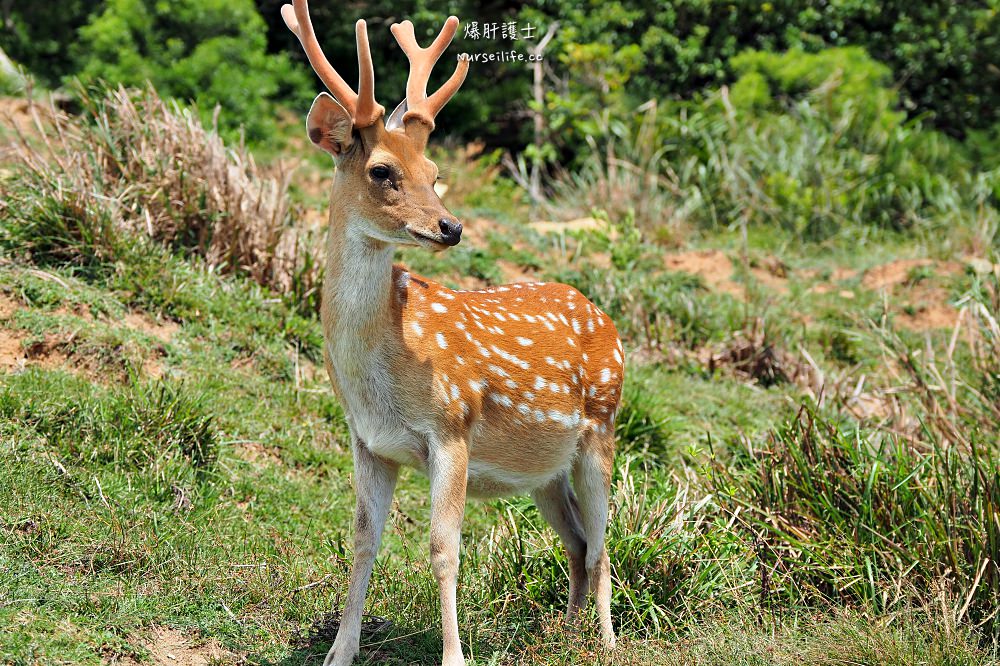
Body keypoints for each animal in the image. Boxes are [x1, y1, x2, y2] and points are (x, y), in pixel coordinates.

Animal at [280, 2, 624, 660]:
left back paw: (609, 642)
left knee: (604, 540)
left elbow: (444, 550)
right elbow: (363, 542)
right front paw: (340, 651)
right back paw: (567, 635)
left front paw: (454, 656)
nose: (451, 226)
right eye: (382, 170)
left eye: (434, 171)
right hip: (542, 468)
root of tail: (604, 317)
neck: (380, 368)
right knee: (576, 539)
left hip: (602, 425)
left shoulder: (452, 428)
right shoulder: (368, 443)